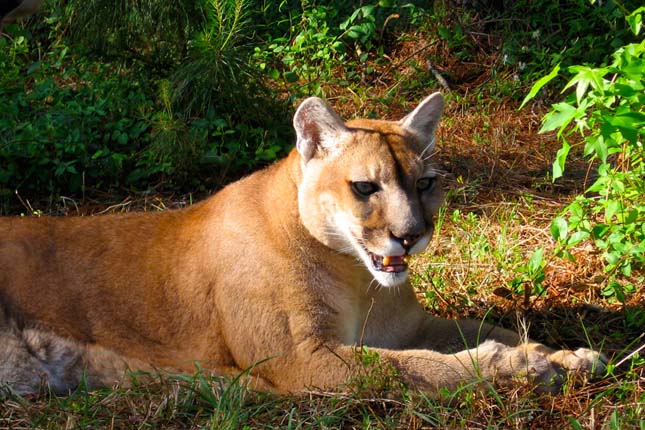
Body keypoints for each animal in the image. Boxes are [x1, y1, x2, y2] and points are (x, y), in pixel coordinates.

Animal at [1, 94, 604, 396]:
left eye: (426, 183)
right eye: (365, 187)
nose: (411, 235)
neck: (360, 281)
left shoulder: (410, 325)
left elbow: (488, 327)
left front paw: (566, 356)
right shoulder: (301, 357)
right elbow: (416, 367)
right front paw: (522, 366)